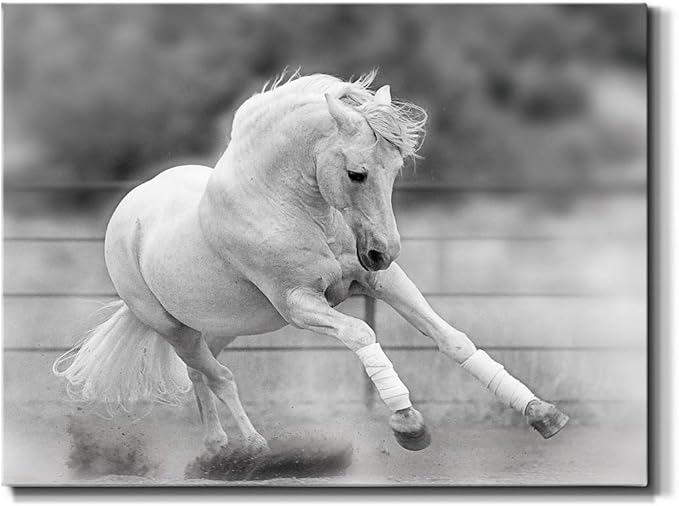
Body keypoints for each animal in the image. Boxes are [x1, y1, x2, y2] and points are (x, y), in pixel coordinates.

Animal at [54, 71, 568, 456]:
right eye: (357, 173)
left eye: (397, 169)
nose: (383, 251)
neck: (287, 206)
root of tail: (130, 211)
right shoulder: (299, 304)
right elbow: (361, 334)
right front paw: (409, 424)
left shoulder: (379, 282)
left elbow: (452, 339)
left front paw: (541, 413)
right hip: (172, 328)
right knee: (218, 376)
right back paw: (252, 446)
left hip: (219, 327)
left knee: (202, 374)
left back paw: (218, 445)